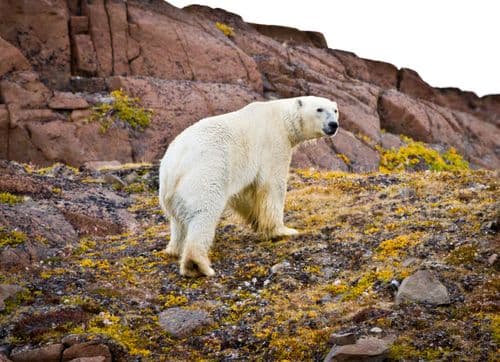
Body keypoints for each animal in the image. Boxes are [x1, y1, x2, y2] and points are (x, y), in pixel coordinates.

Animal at [160, 96, 340, 278]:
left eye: (335, 110)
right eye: (319, 109)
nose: (333, 124)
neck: (282, 117)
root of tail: (171, 168)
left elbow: (241, 194)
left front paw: (257, 221)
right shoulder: (275, 143)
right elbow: (272, 184)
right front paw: (283, 230)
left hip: (173, 195)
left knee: (178, 223)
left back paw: (175, 250)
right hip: (203, 175)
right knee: (203, 214)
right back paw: (198, 264)